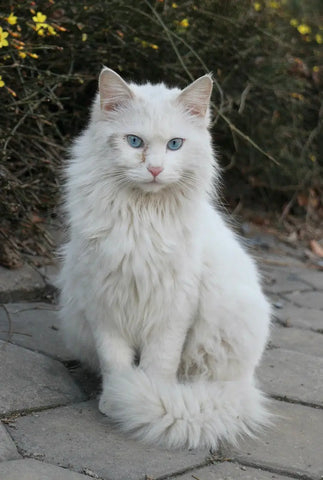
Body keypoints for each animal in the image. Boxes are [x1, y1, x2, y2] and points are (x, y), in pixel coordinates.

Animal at [59, 68, 272, 450]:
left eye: (175, 144)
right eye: (134, 142)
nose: (155, 169)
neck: (141, 216)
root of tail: (245, 382)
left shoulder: (174, 308)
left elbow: (158, 364)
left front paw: (143, 397)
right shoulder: (103, 302)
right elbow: (115, 362)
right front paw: (117, 398)